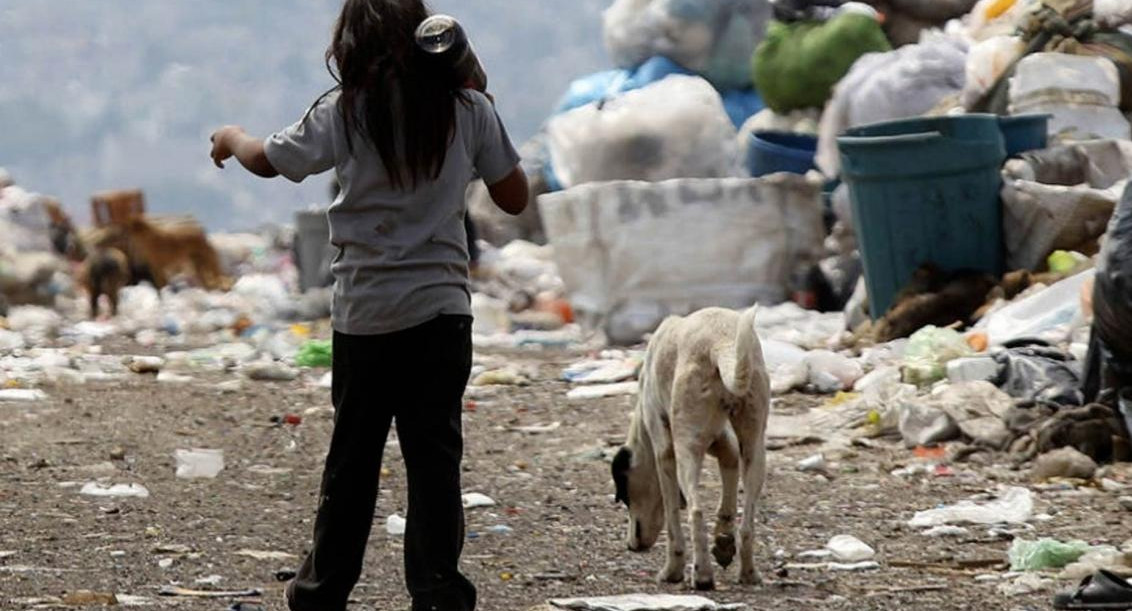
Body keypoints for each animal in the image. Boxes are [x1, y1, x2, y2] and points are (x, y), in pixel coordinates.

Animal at [611, 307, 769, 588]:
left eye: (625, 495)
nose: (631, 546)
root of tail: (721, 342)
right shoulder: (724, 443)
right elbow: (728, 495)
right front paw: (723, 542)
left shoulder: (664, 454)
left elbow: (673, 517)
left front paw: (672, 570)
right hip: (754, 448)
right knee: (747, 524)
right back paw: (748, 573)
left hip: (687, 450)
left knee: (696, 512)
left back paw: (702, 574)